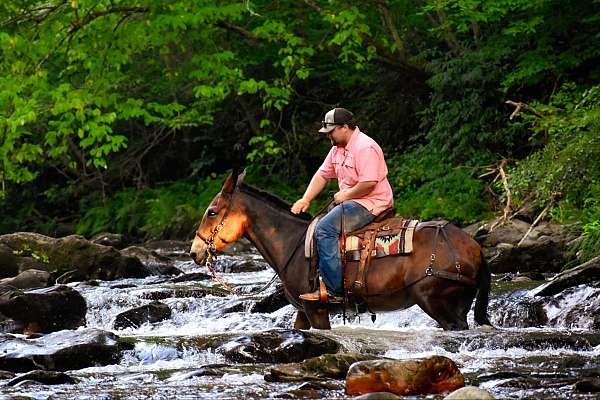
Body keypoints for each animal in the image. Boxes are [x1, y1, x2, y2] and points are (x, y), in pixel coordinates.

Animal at [191, 172, 492, 332]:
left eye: (212, 211)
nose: (194, 252)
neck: (293, 244)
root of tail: (474, 246)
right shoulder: (303, 311)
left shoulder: (317, 309)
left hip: (436, 302)